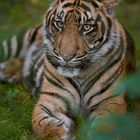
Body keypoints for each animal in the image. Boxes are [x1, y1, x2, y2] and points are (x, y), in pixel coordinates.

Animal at [30, 0, 136, 139]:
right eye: (59, 24)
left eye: (86, 27)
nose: (66, 57)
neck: (80, 74)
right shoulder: (49, 99)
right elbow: (41, 124)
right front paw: (63, 132)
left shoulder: (111, 101)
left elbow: (104, 127)